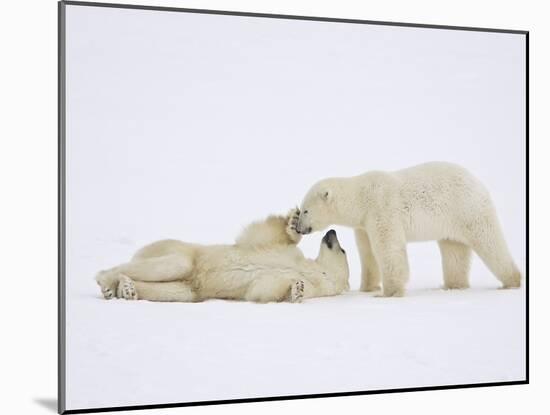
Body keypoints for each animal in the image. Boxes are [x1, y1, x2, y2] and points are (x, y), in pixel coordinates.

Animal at [95, 210, 352, 304]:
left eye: (343, 250)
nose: (332, 231)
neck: (315, 273)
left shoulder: (310, 285)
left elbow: (263, 288)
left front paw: (296, 290)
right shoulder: (288, 255)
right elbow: (267, 237)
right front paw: (293, 223)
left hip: (191, 287)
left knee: (174, 290)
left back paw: (126, 289)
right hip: (179, 249)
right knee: (174, 264)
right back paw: (108, 281)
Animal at [296, 161, 524, 298]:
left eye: (305, 210)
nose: (298, 228)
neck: (361, 197)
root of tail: (478, 183)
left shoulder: (382, 208)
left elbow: (388, 248)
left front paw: (388, 292)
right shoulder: (363, 223)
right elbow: (368, 253)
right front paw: (367, 288)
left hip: (467, 209)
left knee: (489, 241)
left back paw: (511, 281)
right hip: (451, 223)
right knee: (454, 252)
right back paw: (451, 285)